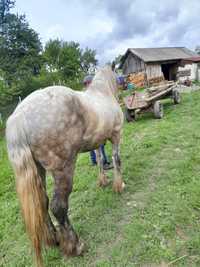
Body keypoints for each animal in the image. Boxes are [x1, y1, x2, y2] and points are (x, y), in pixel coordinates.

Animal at [5, 66, 123, 266]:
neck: (103, 92)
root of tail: (20, 116)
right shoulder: (116, 135)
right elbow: (116, 159)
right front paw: (119, 185)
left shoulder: (98, 143)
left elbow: (100, 159)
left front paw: (103, 181)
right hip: (63, 169)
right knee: (58, 206)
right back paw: (75, 246)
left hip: (39, 171)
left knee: (43, 203)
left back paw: (54, 239)